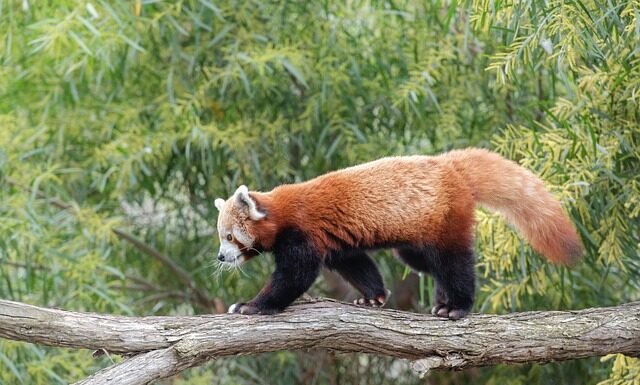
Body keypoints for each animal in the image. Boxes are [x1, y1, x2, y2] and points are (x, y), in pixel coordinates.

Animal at [214, 147, 580, 318]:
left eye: (229, 237)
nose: (220, 256)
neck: (281, 212)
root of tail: (450, 167)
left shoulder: (303, 233)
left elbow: (294, 276)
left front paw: (252, 305)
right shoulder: (335, 242)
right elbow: (356, 264)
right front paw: (373, 296)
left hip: (445, 220)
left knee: (454, 263)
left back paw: (457, 306)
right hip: (415, 239)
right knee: (427, 265)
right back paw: (442, 299)